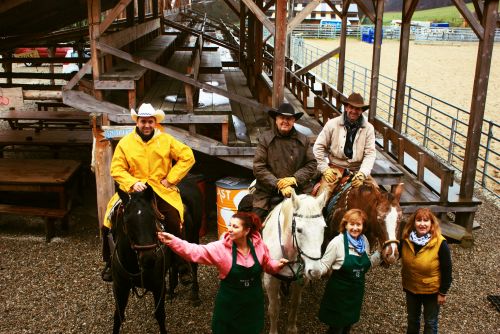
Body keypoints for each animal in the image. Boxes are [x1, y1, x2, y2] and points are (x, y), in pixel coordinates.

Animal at [262, 189, 328, 332]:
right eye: (299, 229)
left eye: (323, 228)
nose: (315, 271)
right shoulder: (270, 280)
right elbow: (273, 309)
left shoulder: (301, 279)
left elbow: (295, 304)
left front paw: (291, 328)